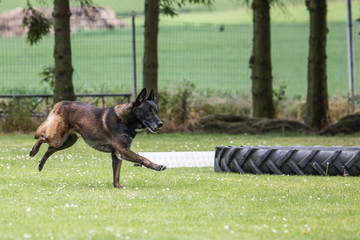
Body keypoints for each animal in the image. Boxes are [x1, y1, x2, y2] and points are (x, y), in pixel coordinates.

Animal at [29, 88, 167, 188]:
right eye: (148, 111)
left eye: (156, 111)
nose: (160, 124)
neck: (126, 119)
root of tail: (60, 103)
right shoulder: (123, 150)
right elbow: (142, 158)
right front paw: (157, 166)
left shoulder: (117, 154)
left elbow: (116, 173)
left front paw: (117, 186)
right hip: (57, 138)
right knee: (42, 138)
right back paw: (33, 151)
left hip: (67, 141)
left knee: (50, 149)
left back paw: (40, 164)